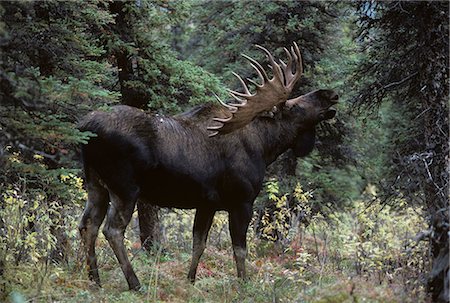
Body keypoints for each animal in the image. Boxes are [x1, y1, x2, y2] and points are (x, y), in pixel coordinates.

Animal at [77, 42, 338, 290]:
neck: (265, 147)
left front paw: (190, 280)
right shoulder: (242, 201)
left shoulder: (207, 204)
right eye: (294, 106)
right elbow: (239, 249)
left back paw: (94, 279)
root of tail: (85, 125)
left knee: (87, 225)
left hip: (95, 184)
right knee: (112, 230)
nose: (330, 93)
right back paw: (134, 283)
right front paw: (244, 283)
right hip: (124, 187)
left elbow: (198, 244)